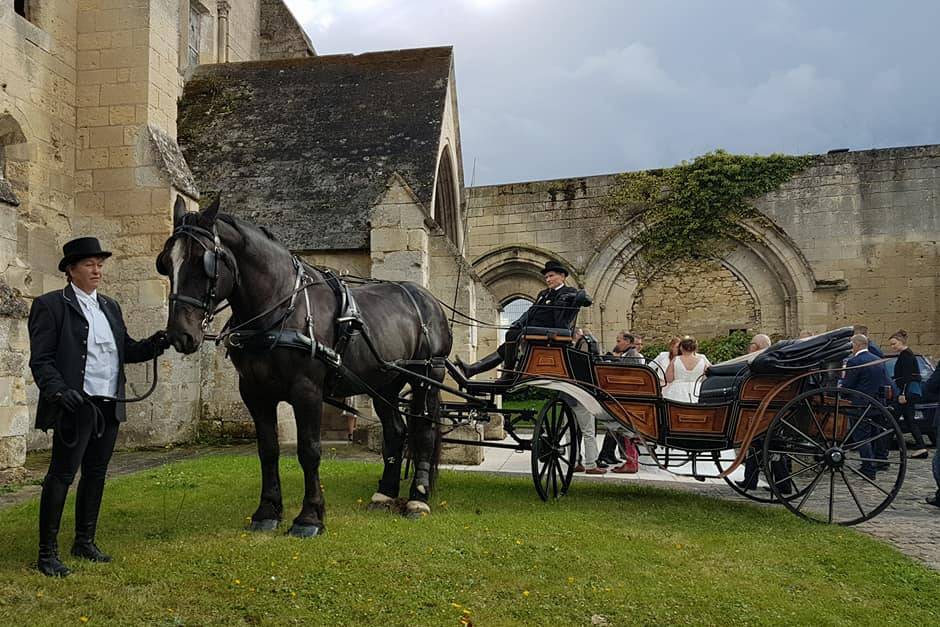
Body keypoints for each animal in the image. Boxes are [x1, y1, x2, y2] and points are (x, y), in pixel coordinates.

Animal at [160, 197, 454, 540]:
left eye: (202, 260)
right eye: (165, 263)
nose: (180, 335)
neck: (279, 309)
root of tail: (427, 299)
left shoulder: (307, 391)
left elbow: (309, 450)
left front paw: (310, 517)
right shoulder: (254, 393)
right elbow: (268, 450)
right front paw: (267, 512)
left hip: (427, 376)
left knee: (425, 432)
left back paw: (418, 499)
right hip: (384, 383)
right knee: (395, 432)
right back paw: (384, 494)